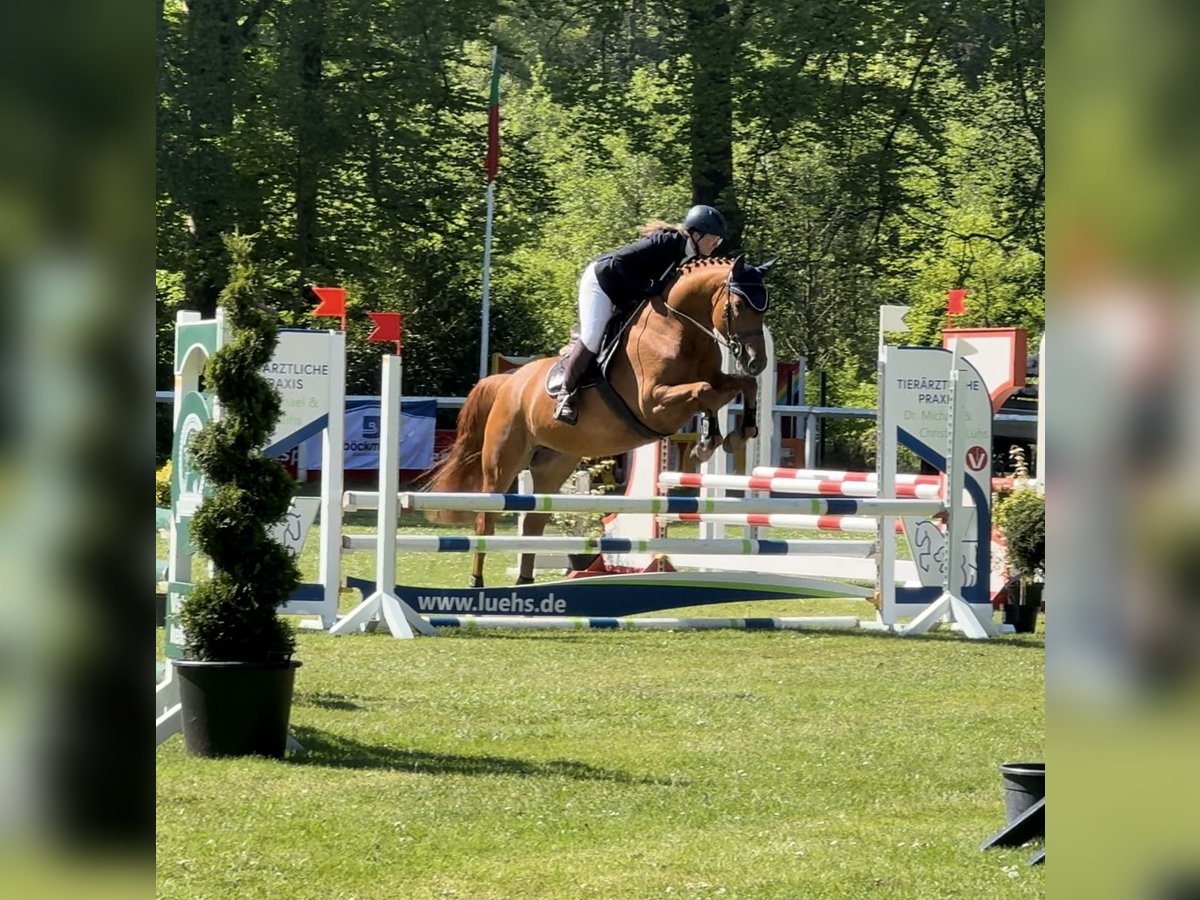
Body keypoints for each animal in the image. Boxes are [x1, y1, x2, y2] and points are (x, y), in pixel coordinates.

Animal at [427, 255, 772, 592]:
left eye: (764, 308)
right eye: (738, 305)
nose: (758, 362)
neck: (679, 328)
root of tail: (509, 381)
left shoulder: (710, 381)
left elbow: (740, 385)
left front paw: (740, 433)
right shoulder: (652, 403)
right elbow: (705, 392)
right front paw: (708, 442)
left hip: (553, 464)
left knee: (534, 522)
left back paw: (525, 581)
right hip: (503, 461)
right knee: (486, 517)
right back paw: (477, 582)